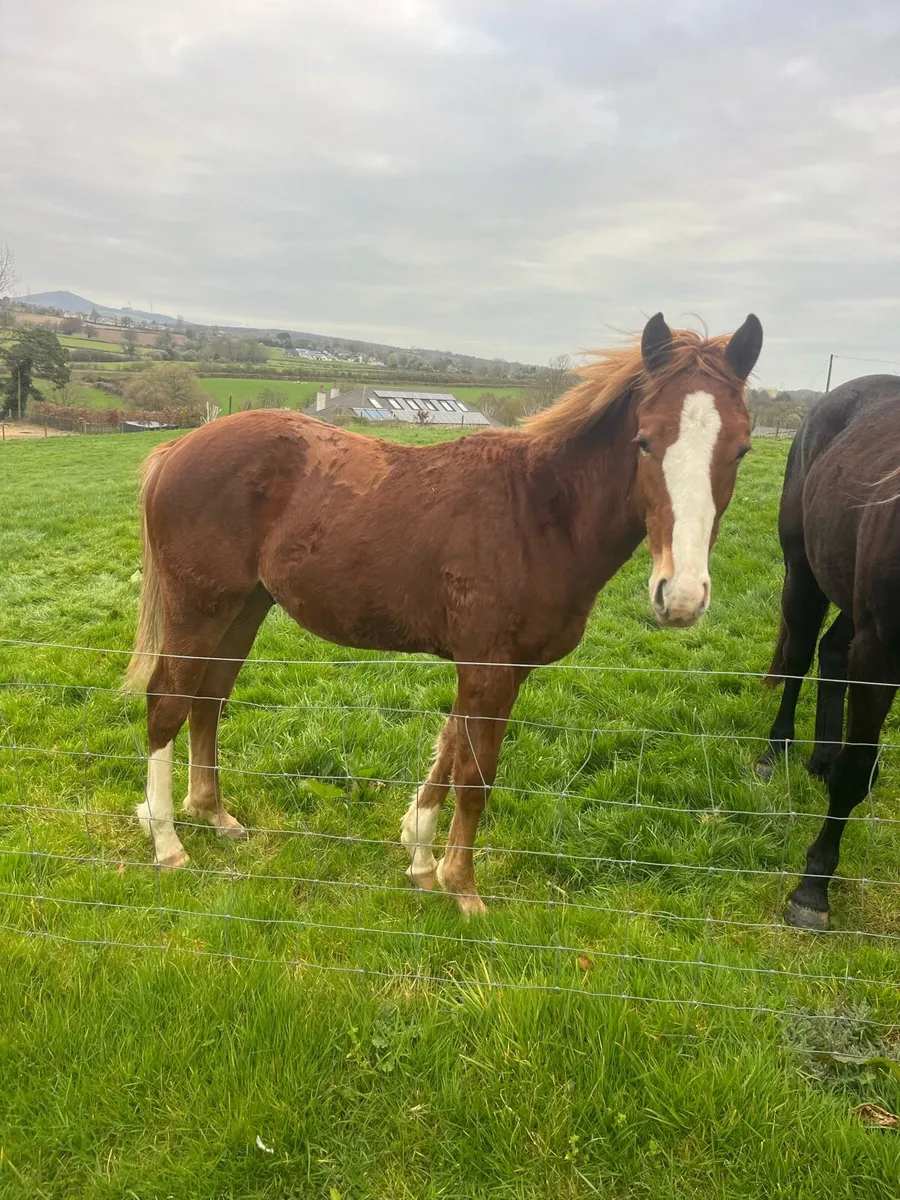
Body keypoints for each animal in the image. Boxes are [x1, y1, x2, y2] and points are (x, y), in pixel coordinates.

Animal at [125, 312, 762, 915]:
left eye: (741, 450)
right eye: (645, 441)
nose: (681, 596)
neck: (539, 513)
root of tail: (176, 448)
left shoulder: (496, 668)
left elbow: (450, 748)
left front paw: (420, 856)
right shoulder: (489, 666)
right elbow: (475, 773)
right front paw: (463, 887)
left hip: (244, 608)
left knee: (207, 698)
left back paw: (212, 814)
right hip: (199, 608)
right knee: (167, 702)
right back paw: (167, 841)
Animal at [757, 375, 900, 929]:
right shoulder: (881, 657)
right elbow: (855, 771)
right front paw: (812, 888)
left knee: (832, 653)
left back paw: (822, 755)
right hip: (805, 573)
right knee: (800, 655)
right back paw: (777, 752)